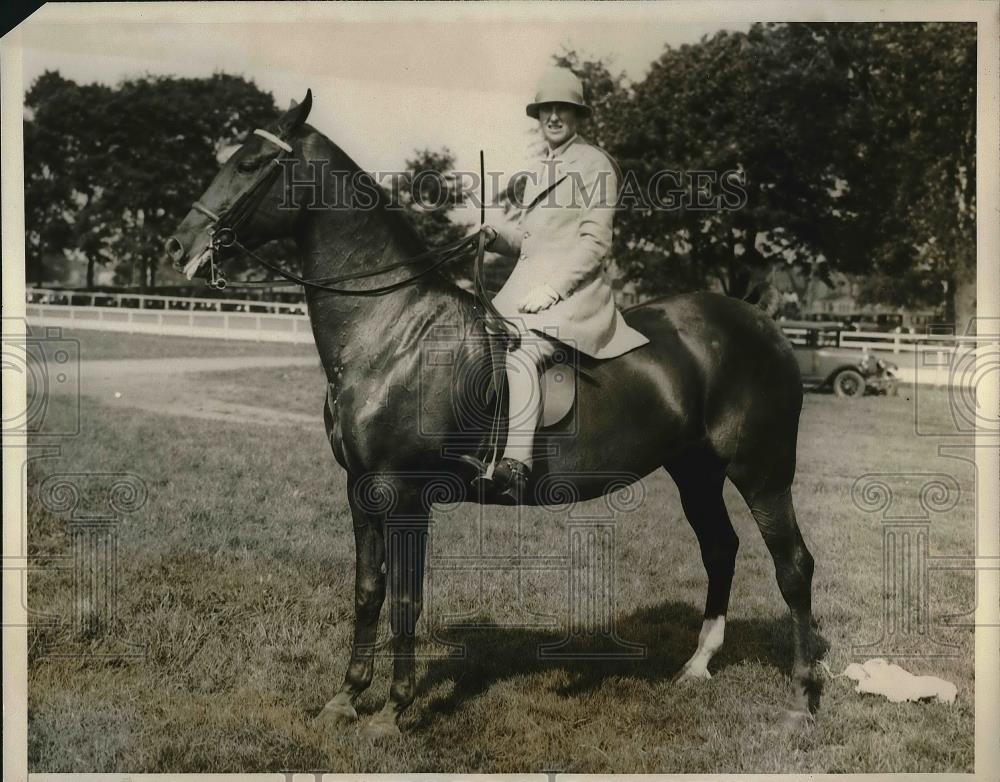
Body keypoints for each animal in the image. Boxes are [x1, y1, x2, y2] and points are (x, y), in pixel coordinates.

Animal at [166, 92, 820, 740]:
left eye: (250, 164)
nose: (178, 245)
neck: (395, 330)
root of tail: (762, 323)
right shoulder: (361, 489)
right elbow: (369, 591)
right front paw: (346, 699)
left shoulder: (405, 494)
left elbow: (406, 599)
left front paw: (394, 712)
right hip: (696, 470)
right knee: (720, 548)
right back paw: (698, 664)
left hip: (762, 471)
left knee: (793, 566)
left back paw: (802, 698)